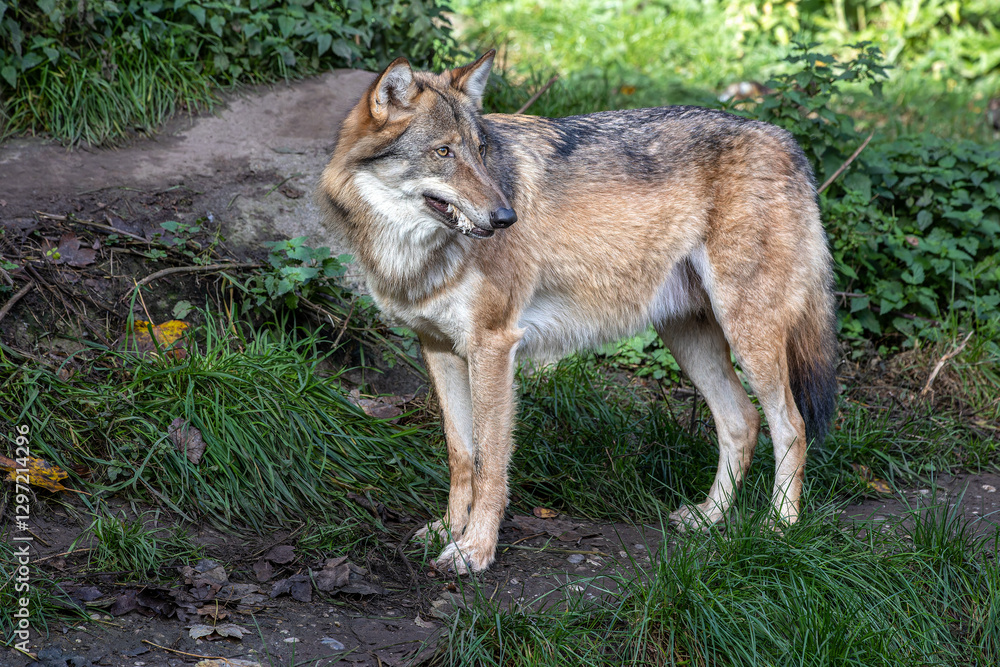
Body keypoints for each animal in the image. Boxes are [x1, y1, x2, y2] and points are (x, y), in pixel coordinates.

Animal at [319, 51, 838, 574]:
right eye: (443, 152)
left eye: (482, 151)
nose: (507, 217)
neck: (412, 254)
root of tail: (786, 140)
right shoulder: (439, 348)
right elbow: (461, 454)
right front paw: (448, 530)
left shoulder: (493, 346)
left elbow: (490, 461)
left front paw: (475, 549)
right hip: (687, 337)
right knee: (741, 421)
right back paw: (708, 517)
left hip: (748, 334)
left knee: (791, 426)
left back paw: (778, 529)